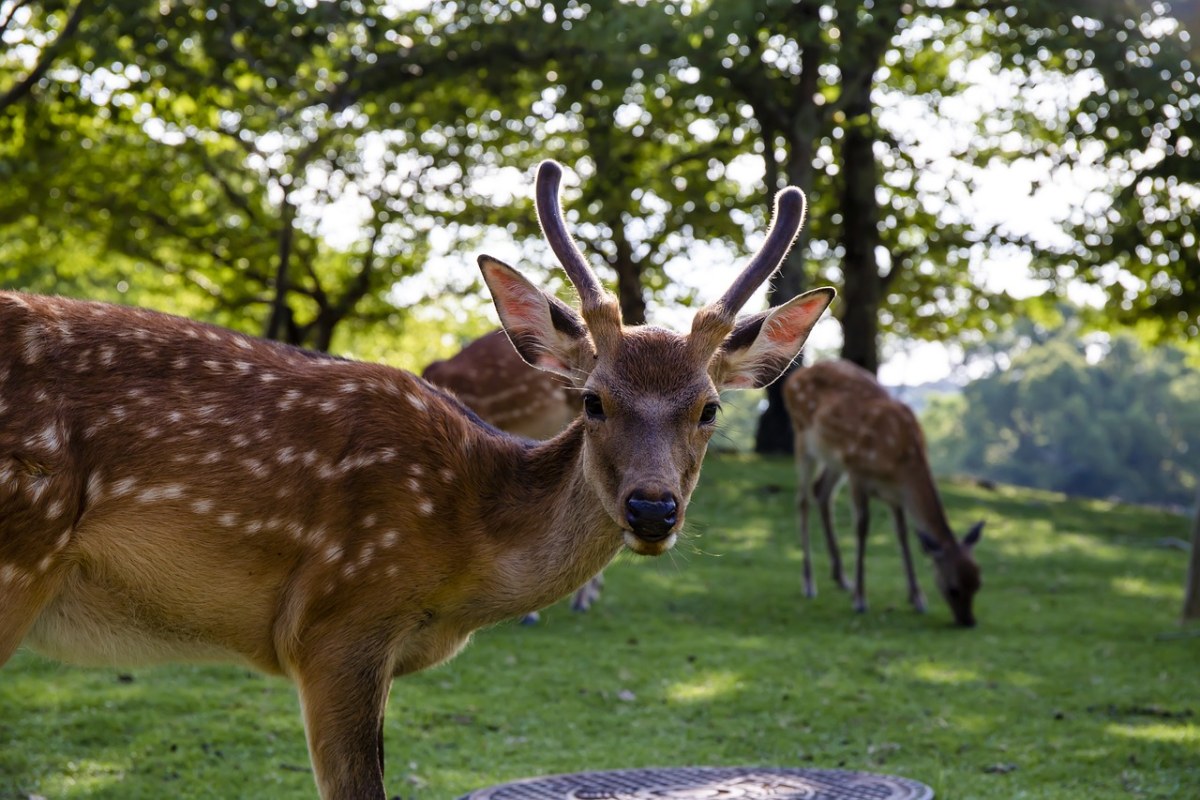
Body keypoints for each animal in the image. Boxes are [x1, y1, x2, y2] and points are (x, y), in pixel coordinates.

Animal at [0, 159, 835, 796]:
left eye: (709, 408)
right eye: (593, 400)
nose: (653, 509)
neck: (462, 552)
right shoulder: (337, 621)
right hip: (18, 556)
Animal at [787, 359, 984, 628]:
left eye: (978, 584)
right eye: (953, 589)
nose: (968, 621)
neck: (902, 459)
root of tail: (794, 377)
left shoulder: (895, 494)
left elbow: (903, 534)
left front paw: (917, 598)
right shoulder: (858, 472)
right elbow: (862, 529)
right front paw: (860, 600)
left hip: (835, 458)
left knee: (821, 491)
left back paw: (841, 578)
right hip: (803, 438)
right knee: (803, 499)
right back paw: (809, 583)